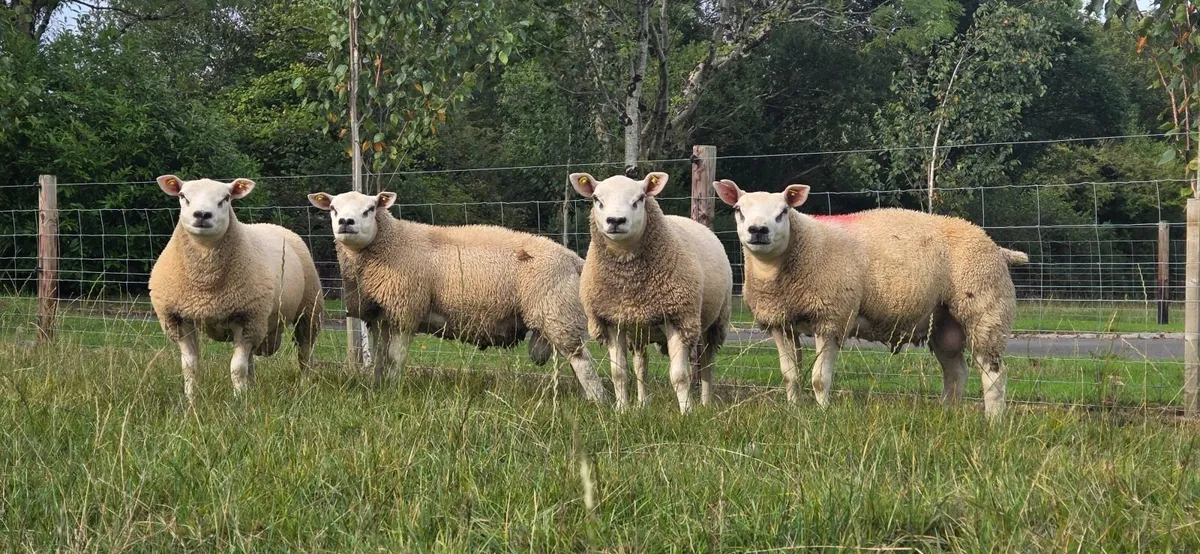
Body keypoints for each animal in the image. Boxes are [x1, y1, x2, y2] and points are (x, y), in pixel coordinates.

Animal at [148, 176, 324, 404]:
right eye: (182, 196)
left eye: (226, 198)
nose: (202, 214)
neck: (205, 285)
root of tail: (273, 225)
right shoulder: (178, 319)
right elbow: (190, 367)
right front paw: (191, 400)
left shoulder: (247, 318)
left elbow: (236, 368)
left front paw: (238, 401)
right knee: (251, 359)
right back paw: (253, 388)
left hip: (308, 310)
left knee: (304, 353)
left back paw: (305, 386)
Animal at [306, 190, 610, 403]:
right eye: (332, 208)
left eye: (369, 209)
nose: (346, 222)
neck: (391, 244)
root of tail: (573, 259)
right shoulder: (381, 315)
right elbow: (380, 356)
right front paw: (377, 387)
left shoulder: (406, 310)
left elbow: (395, 357)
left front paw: (392, 390)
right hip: (558, 314)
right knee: (575, 358)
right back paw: (584, 398)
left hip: (555, 309)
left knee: (582, 361)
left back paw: (597, 402)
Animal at [570, 171, 733, 413]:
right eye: (597, 199)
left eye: (639, 199)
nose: (615, 221)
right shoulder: (611, 321)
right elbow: (619, 373)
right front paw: (622, 410)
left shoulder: (677, 317)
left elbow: (679, 376)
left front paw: (687, 412)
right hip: (639, 329)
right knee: (641, 365)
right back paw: (642, 404)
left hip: (715, 321)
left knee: (707, 364)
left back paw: (705, 402)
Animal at [714, 179, 1029, 419]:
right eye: (739, 210)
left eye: (783, 211)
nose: (758, 230)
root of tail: (996, 247)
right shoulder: (779, 322)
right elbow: (790, 376)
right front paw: (795, 411)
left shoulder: (832, 317)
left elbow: (819, 379)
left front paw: (822, 414)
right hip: (943, 323)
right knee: (956, 371)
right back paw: (947, 413)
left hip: (986, 309)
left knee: (993, 373)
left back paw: (993, 420)